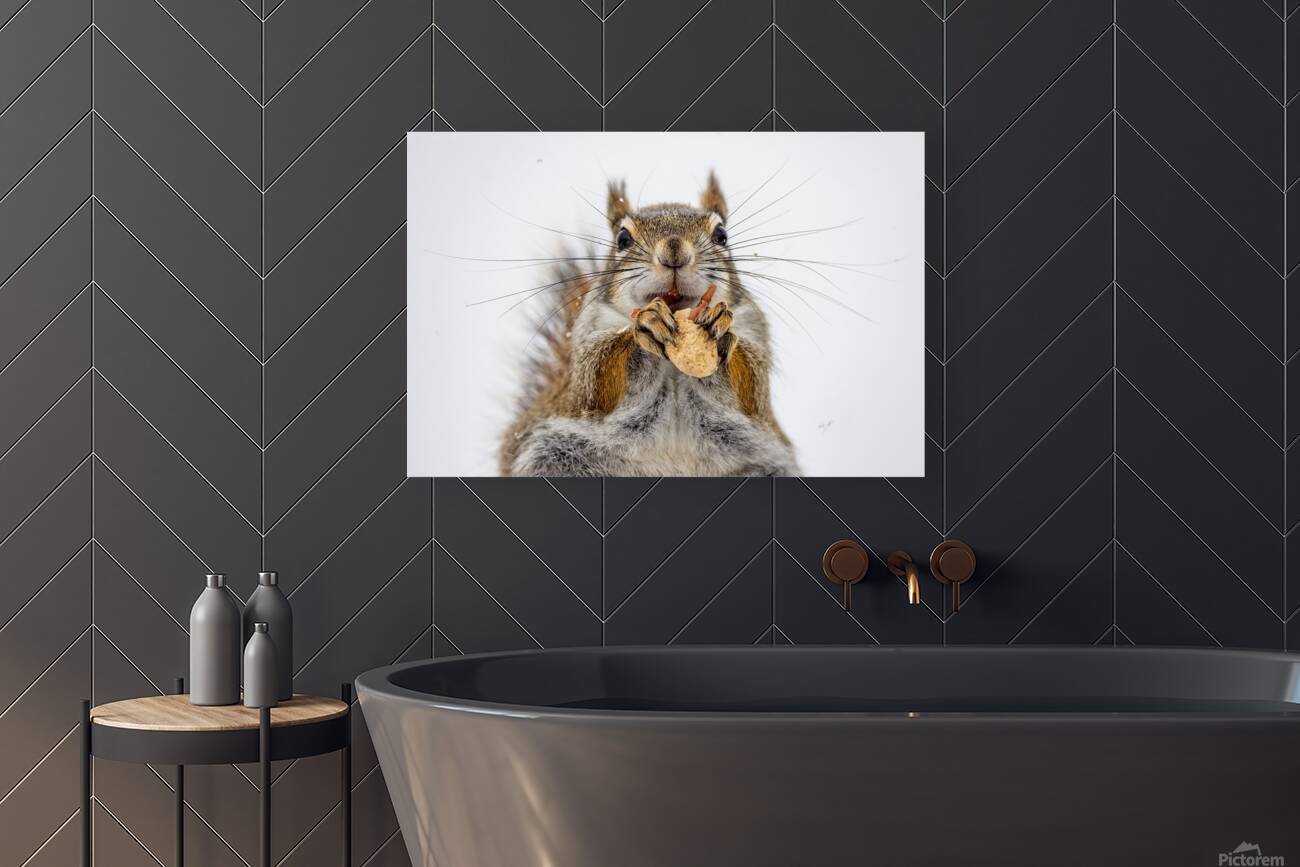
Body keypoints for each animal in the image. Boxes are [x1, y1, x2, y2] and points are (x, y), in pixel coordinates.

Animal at [499, 172, 800, 478]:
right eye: (622, 239)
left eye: (721, 235)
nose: (674, 251)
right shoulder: (586, 340)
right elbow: (595, 380)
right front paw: (645, 325)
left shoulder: (755, 329)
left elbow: (752, 385)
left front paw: (720, 330)